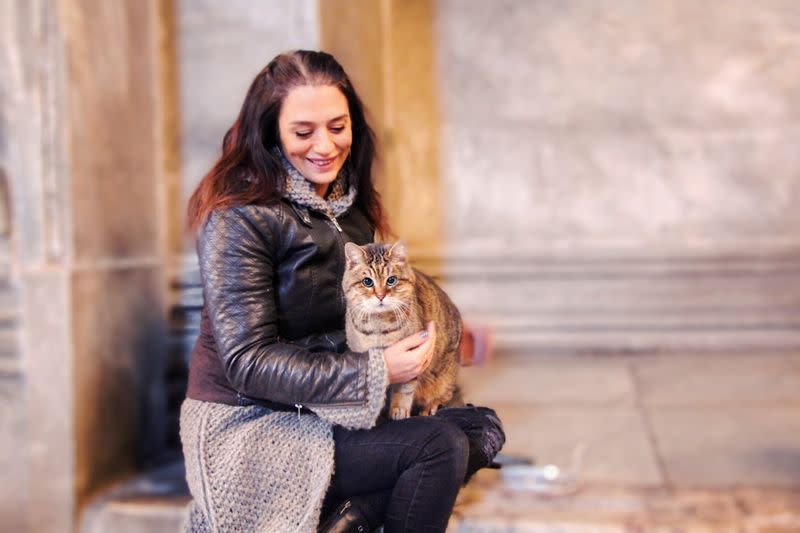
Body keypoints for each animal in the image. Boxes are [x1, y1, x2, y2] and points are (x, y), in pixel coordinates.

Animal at [342, 242, 462, 420]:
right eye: (367, 282)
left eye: (391, 280)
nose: (380, 296)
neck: (379, 325)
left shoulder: (413, 357)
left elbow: (404, 389)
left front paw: (399, 409)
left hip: (444, 376)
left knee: (446, 394)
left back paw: (431, 406)